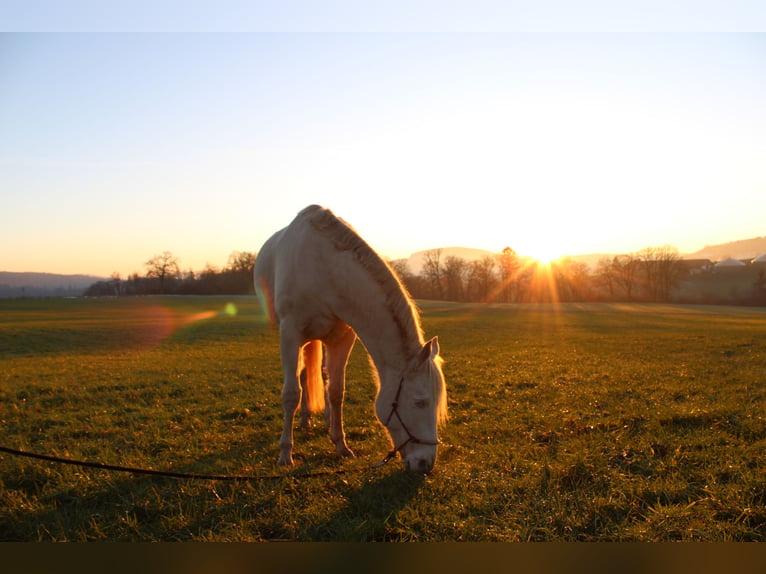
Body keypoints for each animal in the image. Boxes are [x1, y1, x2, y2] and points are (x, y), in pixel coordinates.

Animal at [255, 205, 448, 474]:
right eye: (420, 402)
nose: (425, 464)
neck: (324, 269)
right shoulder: (290, 334)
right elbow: (291, 393)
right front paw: (285, 454)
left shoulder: (342, 338)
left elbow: (336, 391)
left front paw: (341, 445)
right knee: (303, 376)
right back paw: (304, 421)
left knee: (322, 376)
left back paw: (324, 421)